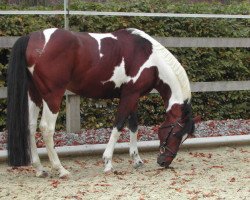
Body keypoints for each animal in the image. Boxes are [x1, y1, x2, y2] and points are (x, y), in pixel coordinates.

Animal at [6, 27, 195, 177]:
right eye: (176, 134)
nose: (164, 162)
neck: (151, 59)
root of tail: (32, 38)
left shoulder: (133, 96)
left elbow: (133, 126)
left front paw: (136, 159)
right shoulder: (129, 96)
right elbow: (118, 126)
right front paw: (108, 162)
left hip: (34, 94)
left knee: (30, 126)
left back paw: (40, 169)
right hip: (52, 96)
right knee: (46, 128)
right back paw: (60, 169)